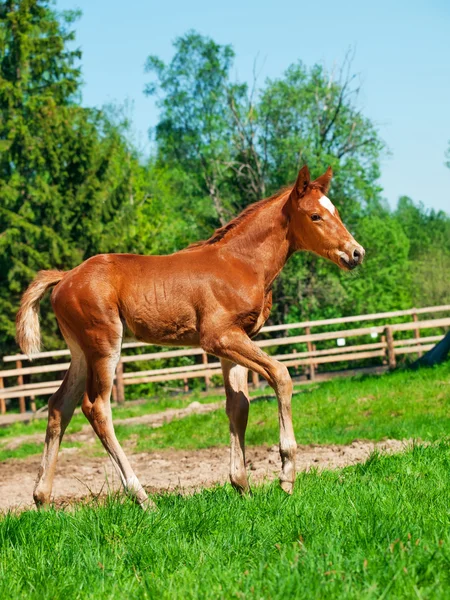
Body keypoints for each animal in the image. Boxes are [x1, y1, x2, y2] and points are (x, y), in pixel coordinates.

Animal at [15, 164, 364, 506]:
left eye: (335, 211)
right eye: (315, 216)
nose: (356, 252)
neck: (241, 263)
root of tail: (64, 277)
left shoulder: (235, 340)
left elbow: (239, 405)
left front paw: (242, 487)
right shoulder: (218, 337)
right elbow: (281, 375)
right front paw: (286, 476)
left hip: (80, 351)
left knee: (60, 405)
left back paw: (42, 500)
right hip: (104, 343)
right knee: (96, 407)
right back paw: (142, 498)